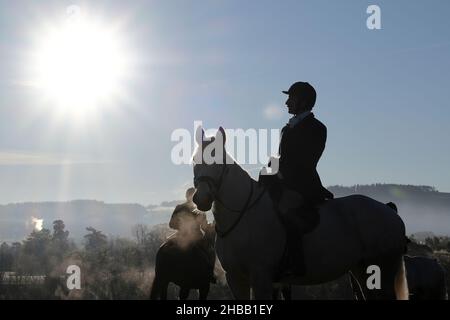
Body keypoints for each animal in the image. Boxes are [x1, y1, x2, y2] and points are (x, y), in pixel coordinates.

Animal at [192, 127, 410, 300]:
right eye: (194, 160)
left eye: (218, 160)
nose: (201, 198)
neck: (243, 216)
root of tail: (389, 211)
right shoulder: (236, 279)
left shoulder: (261, 277)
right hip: (361, 271)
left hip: (381, 269)